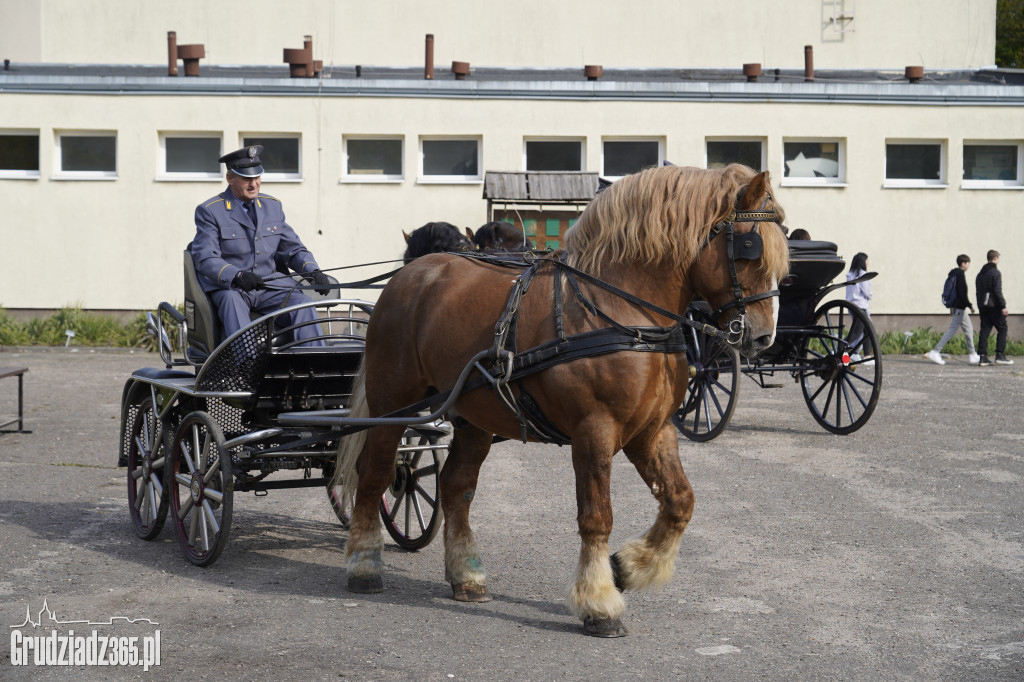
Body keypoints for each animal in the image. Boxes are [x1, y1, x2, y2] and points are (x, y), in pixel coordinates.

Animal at [335, 161, 790, 634]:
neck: (621, 312)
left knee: (456, 487)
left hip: (474, 416)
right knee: (376, 474)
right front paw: (599, 602)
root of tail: (408, 276)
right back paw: (365, 565)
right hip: (392, 404)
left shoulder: (652, 430)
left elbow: (680, 502)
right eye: (750, 248)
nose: (764, 336)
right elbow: (597, 515)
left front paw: (629, 566)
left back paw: (466, 576)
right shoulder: (594, 429)